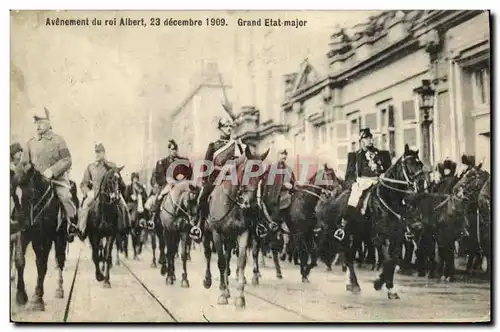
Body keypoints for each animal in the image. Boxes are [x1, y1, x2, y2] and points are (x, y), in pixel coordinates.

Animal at [12, 165, 70, 310]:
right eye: (14, 194)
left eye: (31, 193)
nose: (20, 222)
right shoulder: (23, 235)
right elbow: (19, 260)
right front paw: (21, 295)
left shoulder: (44, 239)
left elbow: (41, 264)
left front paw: (37, 299)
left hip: (60, 237)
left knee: (60, 260)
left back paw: (59, 289)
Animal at [201, 147, 270, 308]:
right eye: (246, 170)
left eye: (262, 175)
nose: (249, 204)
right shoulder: (217, 234)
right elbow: (220, 262)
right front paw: (222, 295)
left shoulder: (243, 233)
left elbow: (241, 262)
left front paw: (240, 296)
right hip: (208, 232)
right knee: (208, 254)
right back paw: (209, 281)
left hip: (230, 238)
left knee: (228, 258)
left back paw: (227, 288)